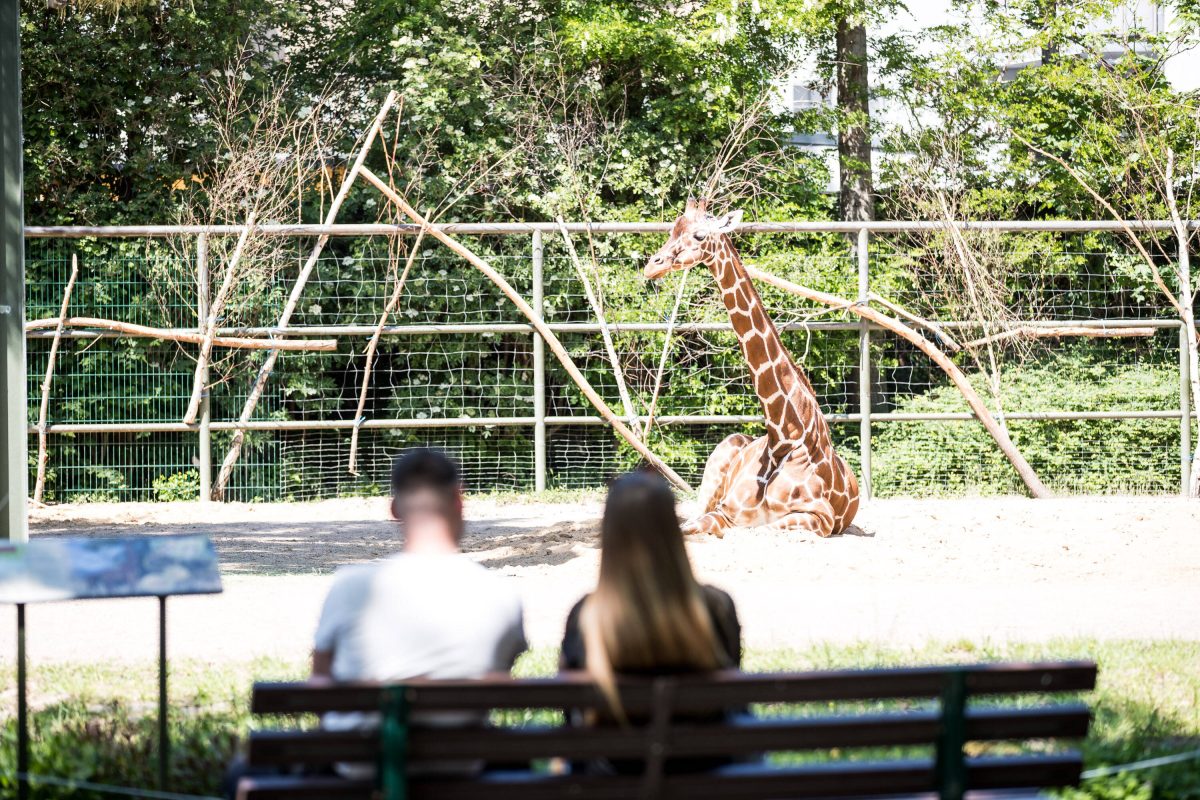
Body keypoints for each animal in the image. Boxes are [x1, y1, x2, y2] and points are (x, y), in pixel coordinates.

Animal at [648, 199, 864, 537]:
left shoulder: (821, 518)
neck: (784, 435)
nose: (652, 266)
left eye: (699, 235)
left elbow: (762, 529)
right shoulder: (727, 511)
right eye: (672, 230)